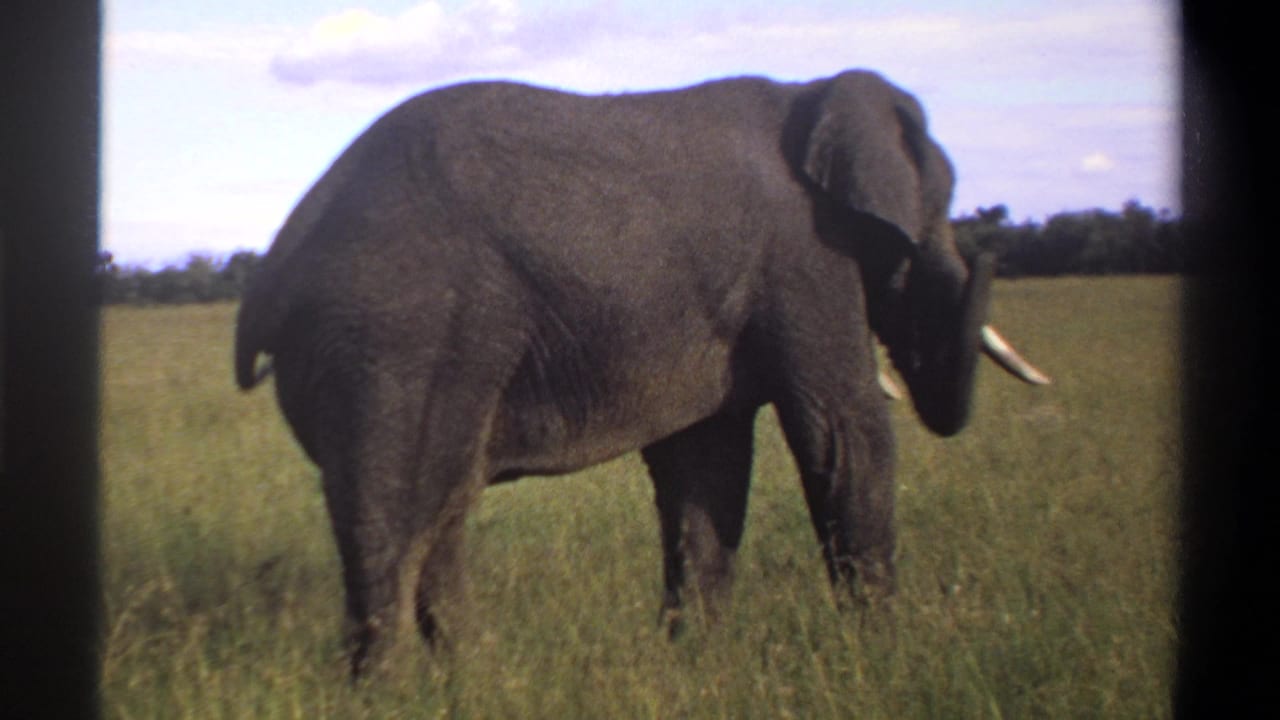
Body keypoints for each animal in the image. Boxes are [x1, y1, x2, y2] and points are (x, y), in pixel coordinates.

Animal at [235, 69, 1048, 676]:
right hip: (396, 338)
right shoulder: (805, 258)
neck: (811, 94)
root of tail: (279, 259)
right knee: (399, 519)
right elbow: (844, 435)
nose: (988, 249)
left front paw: (697, 662)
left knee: (442, 509)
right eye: (930, 218)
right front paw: (883, 656)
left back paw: (475, 678)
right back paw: (392, 692)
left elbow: (706, 467)